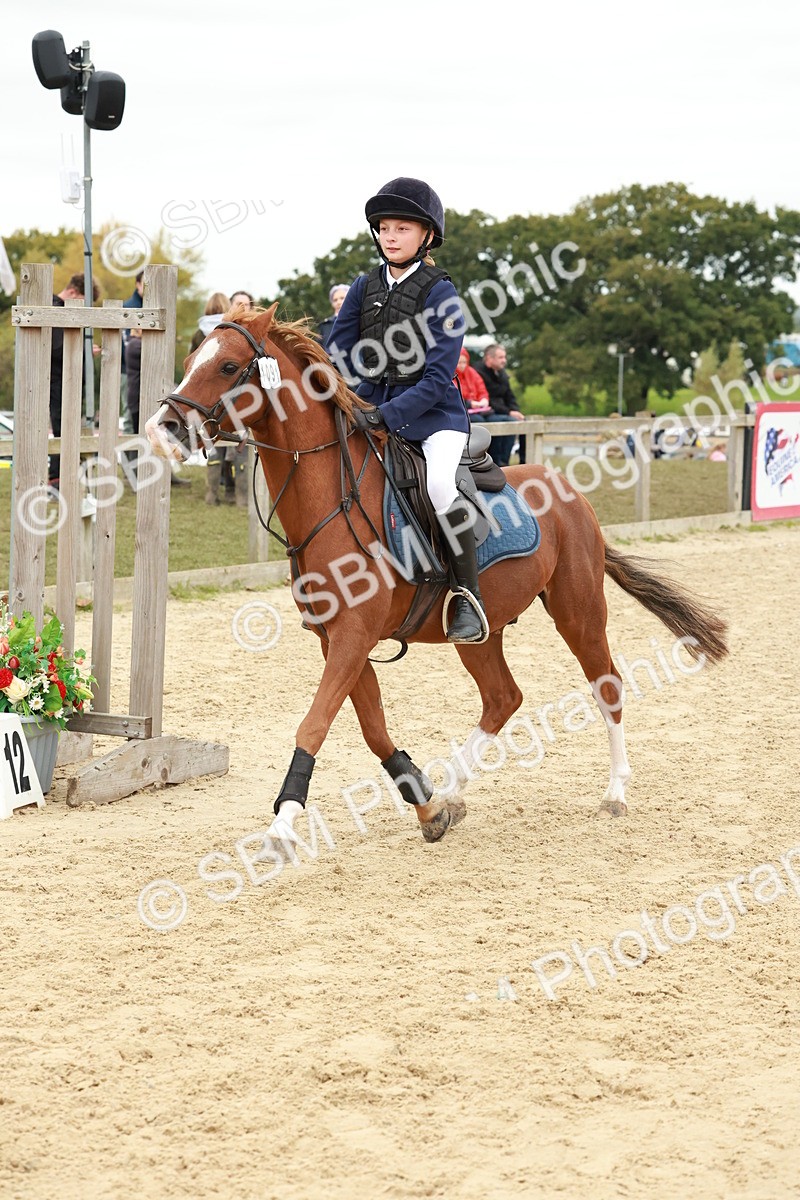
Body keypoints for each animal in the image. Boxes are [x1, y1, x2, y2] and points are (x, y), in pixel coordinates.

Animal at [146, 302, 728, 846]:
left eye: (227, 366)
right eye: (189, 363)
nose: (163, 429)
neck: (333, 498)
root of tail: (570, 490)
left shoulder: (354, 635)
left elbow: (314, 724)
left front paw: (284, 824)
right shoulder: (338, 639)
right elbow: (373, 729)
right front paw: (428, 806)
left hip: (578, 611)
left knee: (606, 685)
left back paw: (615, 792)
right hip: (480, 631)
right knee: (503, 697)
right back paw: (453, 791)